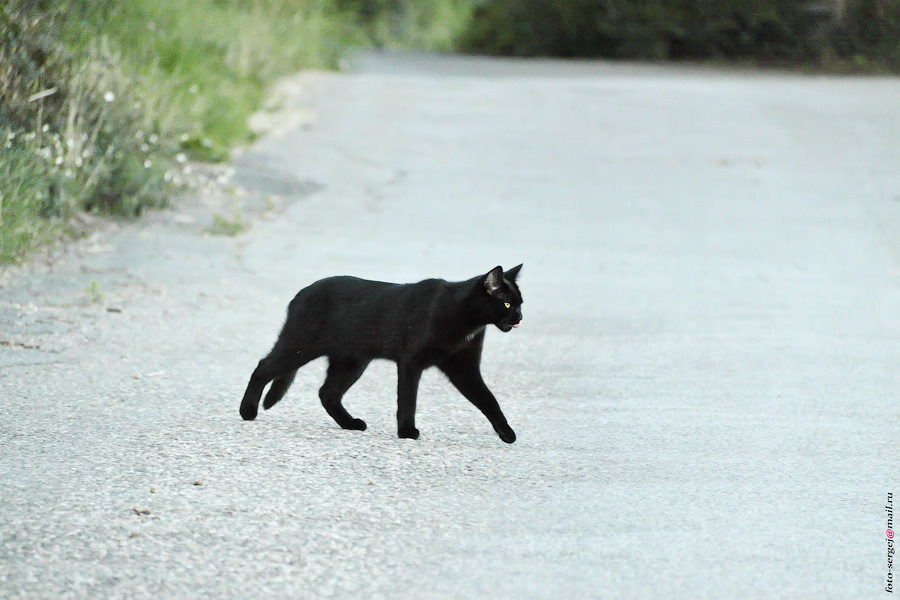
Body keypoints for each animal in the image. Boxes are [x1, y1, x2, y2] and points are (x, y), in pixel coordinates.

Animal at [239, 264, 524, 442]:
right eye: (507, 304)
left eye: (520, 303)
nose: (520, 318)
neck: (464, 317)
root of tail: (301, 293)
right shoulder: (411, 362)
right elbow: (407, 399)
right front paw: (407, 432)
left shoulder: (465, 369)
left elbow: (489, 400)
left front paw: (507, 433)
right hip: (300, 345)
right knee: (262, 367)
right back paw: (247, 411)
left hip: (351, 361)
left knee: (327, 393)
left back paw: (351, 424)